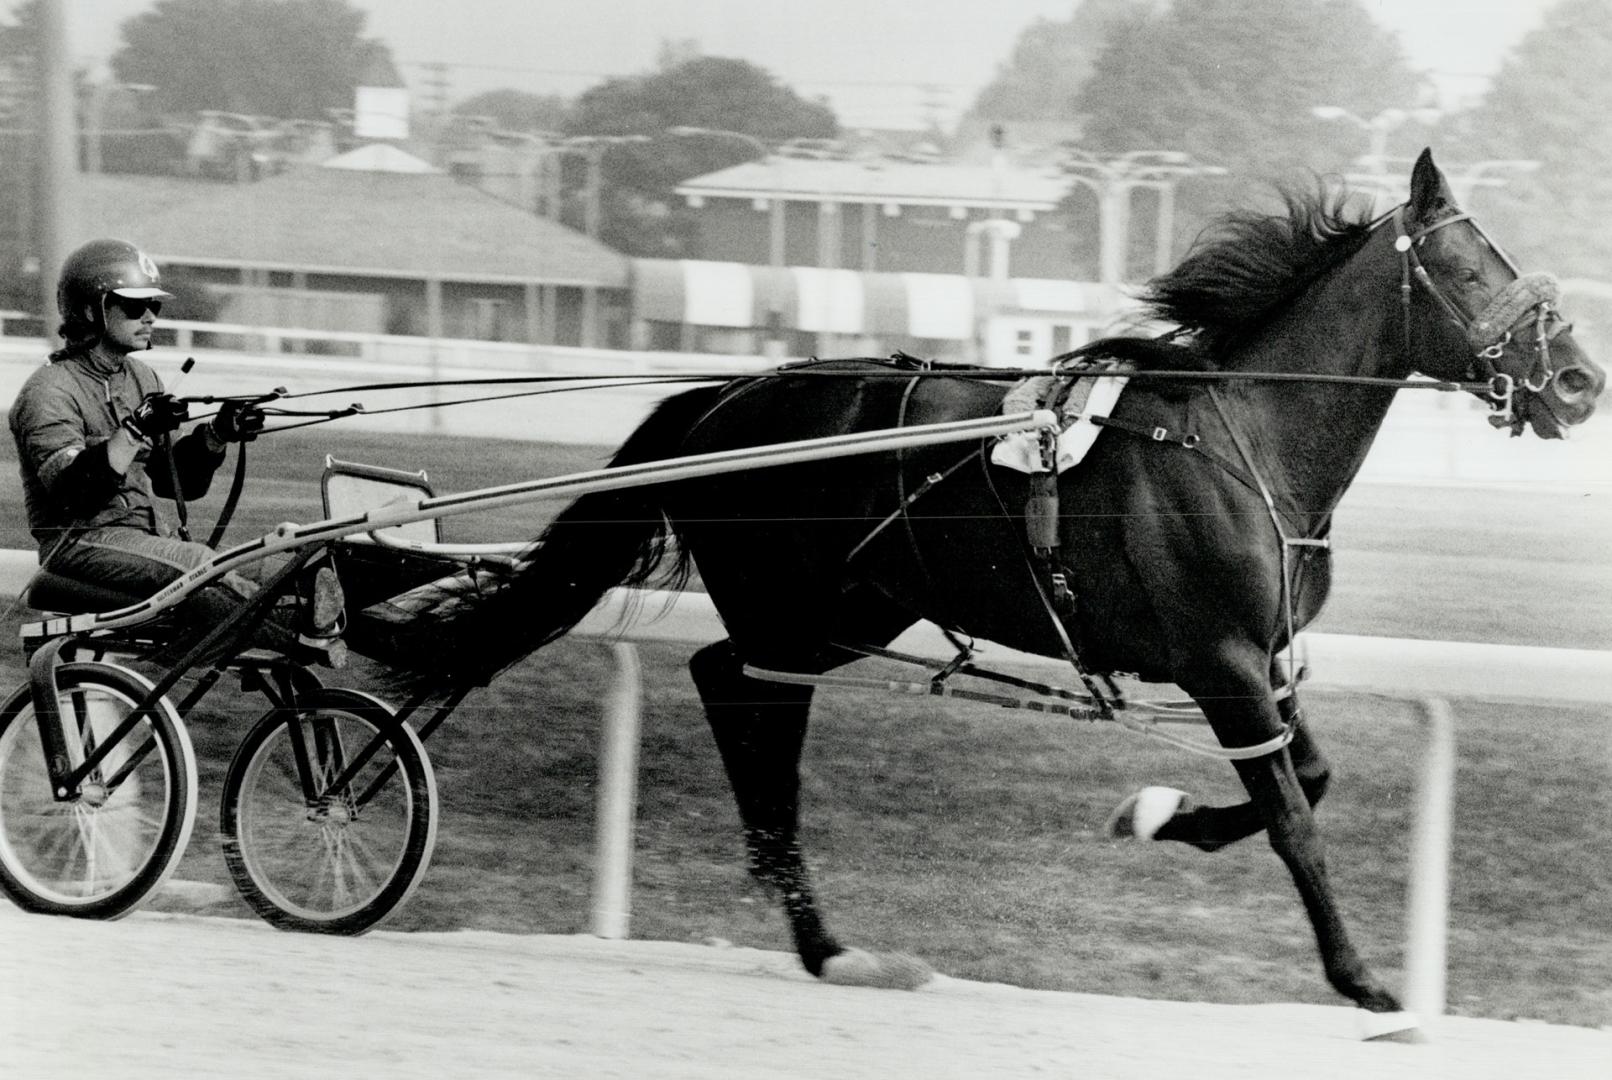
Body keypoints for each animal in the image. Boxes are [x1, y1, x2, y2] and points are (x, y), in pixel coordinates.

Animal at [393, 149, 1599, 1025]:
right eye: (1476, 267)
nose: (1582, 380)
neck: (1240, 437)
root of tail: (725, 399)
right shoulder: (1218, 662)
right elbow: (1294, 817)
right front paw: (1362, 980)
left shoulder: (1264, 661)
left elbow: (1307, 773)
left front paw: (1161, 816)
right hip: (797, 605)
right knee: (747, 706)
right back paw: (815, 927)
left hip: (850, 609)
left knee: (723, 675)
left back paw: (816, 933)